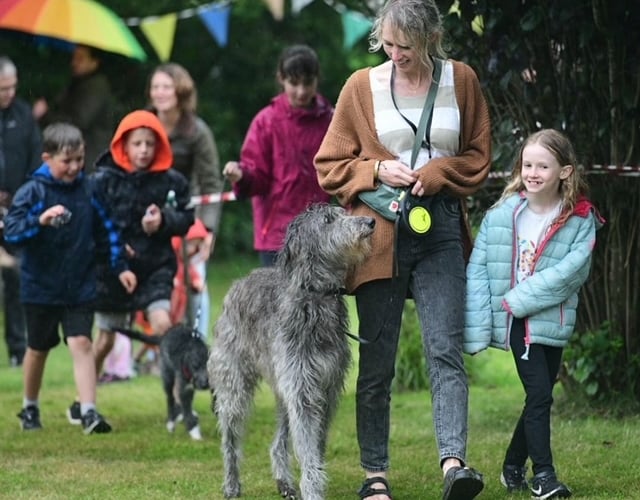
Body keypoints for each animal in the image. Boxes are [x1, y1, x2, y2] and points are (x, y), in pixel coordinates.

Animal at [208, 204, 376, 500]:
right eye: (328, 220)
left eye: (343, 213)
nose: (369, 222)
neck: (316, 297)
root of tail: (237, 283)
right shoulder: (303, 391)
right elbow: (308, 449)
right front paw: (313, 490)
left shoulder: (326, 388)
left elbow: (315, 446)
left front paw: (313, 483)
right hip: (233, 384)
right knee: (230, 437)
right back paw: (231, 484)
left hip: (282, 386)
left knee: (278, 442)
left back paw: (284, 483)